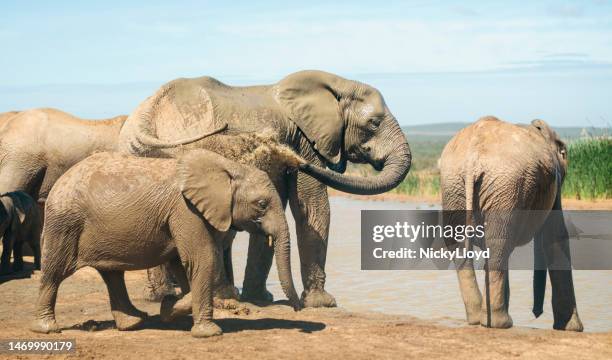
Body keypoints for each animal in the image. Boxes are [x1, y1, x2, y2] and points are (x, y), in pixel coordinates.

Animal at [32, 149, 302, 338]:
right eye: (262, 204)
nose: (299, 308)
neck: (228, 167)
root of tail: (58, 183)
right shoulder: (186, 210)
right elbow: (202, 259)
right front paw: (207, 332)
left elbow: (182, 264)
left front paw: (169, 310)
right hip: (65, 222)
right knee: (55, 272)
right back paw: (47, 328)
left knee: (112, 274)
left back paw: (134, 322)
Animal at [117, 69, 414, 306]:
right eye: (374, 123)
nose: (289, 157)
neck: (338, 83)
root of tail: (148, 113)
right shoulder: (306, 141)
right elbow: (311, 206)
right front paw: (323, 304)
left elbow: (276, 207)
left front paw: (261, 299)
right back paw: (220, 296)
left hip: (137, 155)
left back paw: (162, 296)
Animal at [440, 116, 584, 330]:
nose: (536, 314)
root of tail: (472, 157)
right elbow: (556, 233)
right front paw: (573, 329)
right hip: (505, 183)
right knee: (499, 243)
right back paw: (500, 323)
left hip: (458, 184)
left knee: (465, 243)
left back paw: (479, 320)